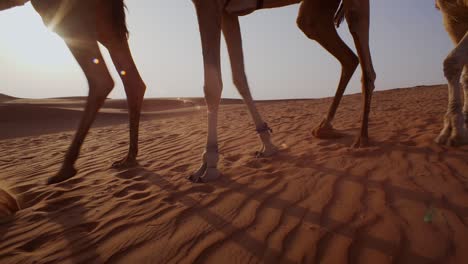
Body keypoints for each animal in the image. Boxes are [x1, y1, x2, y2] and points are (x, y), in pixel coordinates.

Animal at [1, 0, 146, 184]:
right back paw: (128, 159)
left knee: (101, 79)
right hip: (103, 18)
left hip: (65, 13)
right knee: (131, 79)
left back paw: (65, 170)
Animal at [188, 0, 374, 182]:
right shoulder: (228, 13)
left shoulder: (208, 4)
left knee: (362, 47)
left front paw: (209, 166)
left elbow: (212, 85)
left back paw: (362, 140)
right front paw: (268, 146)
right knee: (345, 54)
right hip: (316, 13)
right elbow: (238, 76)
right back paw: (325, 128)